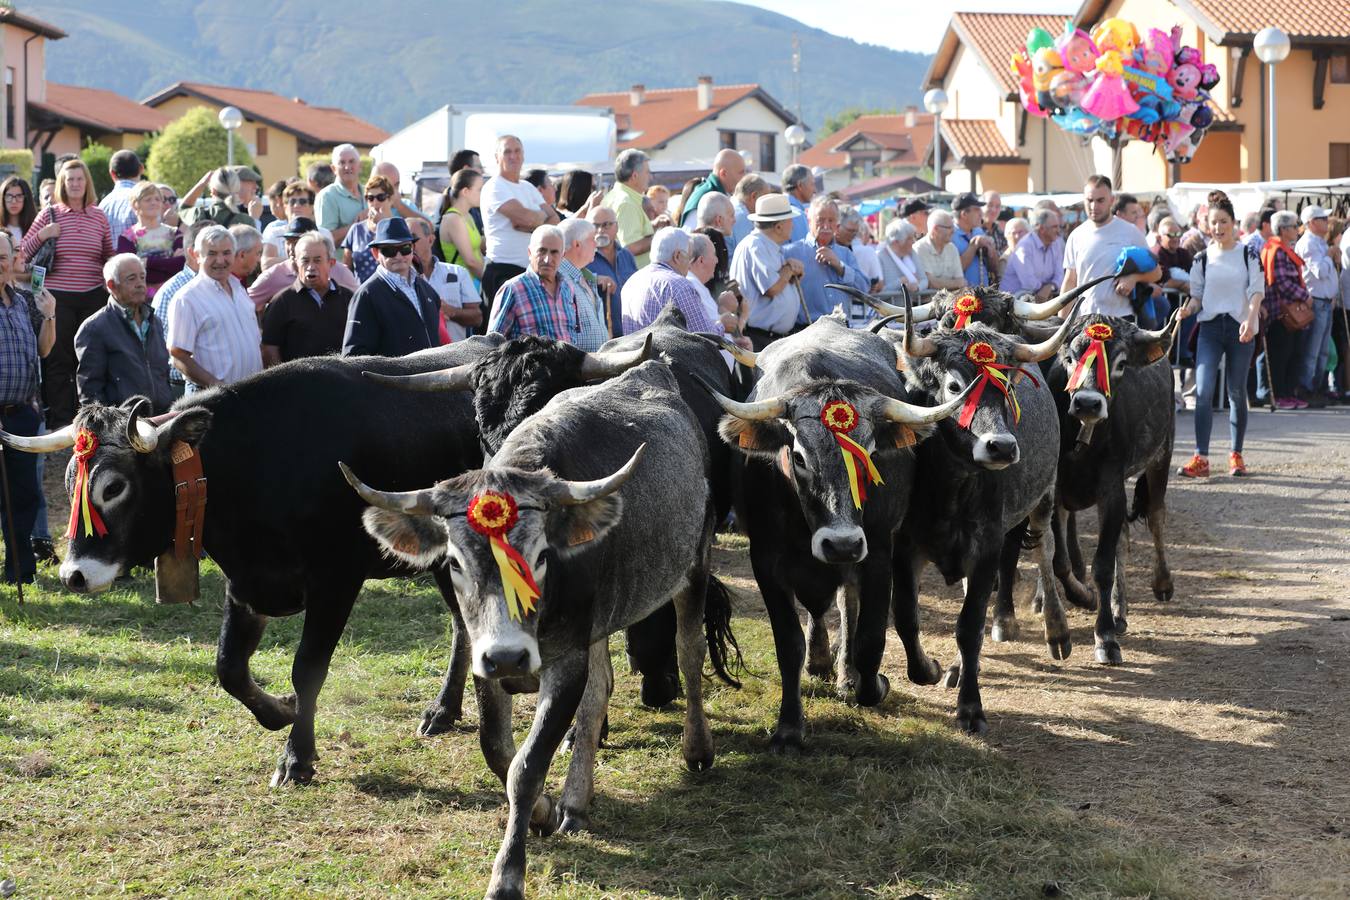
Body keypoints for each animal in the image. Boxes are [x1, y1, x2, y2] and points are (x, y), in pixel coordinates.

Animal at [342, 364, 734, 900]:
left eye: (542, 556)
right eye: (454, 562)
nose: (508, 657)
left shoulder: (566, 660)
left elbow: (526, 767)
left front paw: (508, 873)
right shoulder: (489, 662)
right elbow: (498, 751)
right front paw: (547, 811)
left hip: (694, 563)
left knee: (689, 654)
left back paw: (697, 748)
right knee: (599, 691)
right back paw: (575, 801)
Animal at [702, 313, 966, 750]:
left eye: (870, 454)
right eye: (798, 457)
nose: (841, 543)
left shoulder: (876, 552)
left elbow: (870, 638)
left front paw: (869, 683)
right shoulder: (765, 561)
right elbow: (788, 644)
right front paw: (789, 727)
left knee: (847, 605)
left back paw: (844, 673)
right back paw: (821, 660)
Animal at [1036, 313, 1177, 666]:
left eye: (1121, 363)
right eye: (1069, 358)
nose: (1087, 403)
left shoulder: (1112, 491)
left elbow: (1102, 566)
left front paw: (1105, 638)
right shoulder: (1056, 493)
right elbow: (1059, 561)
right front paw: (1081, 600)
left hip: (1162, 455)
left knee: (1155, 517)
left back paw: (1161, 584)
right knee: (1122, 539)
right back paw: (1118, 610)